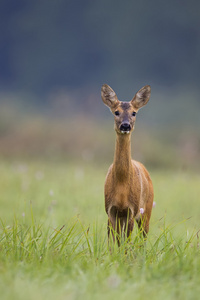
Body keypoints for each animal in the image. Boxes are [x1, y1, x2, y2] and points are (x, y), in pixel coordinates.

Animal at [101, 84, 154, 244]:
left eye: (134, 113)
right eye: (116, 112)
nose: (125, 125)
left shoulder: (132, 210)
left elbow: (126, 243)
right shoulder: (110, 209)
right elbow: (113, 242)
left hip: (146, 210)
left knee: (143, 237)